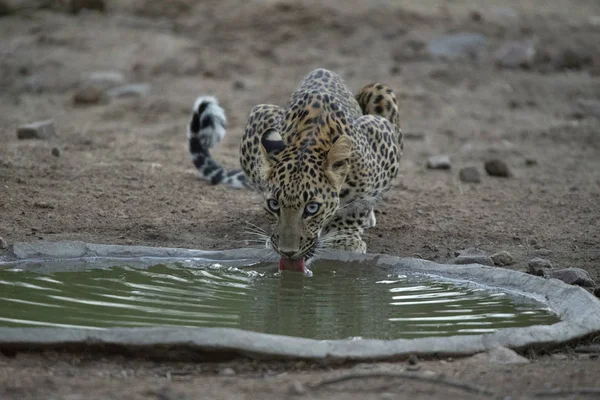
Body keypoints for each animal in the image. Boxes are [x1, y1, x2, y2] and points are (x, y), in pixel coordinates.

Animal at [188, 69, 404, 276]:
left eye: (312, 208)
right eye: (274, 204)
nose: (288, 252)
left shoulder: (381, 134)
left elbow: (359, 204)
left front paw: (345, 239)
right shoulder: (259, 116)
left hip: (380, 93)